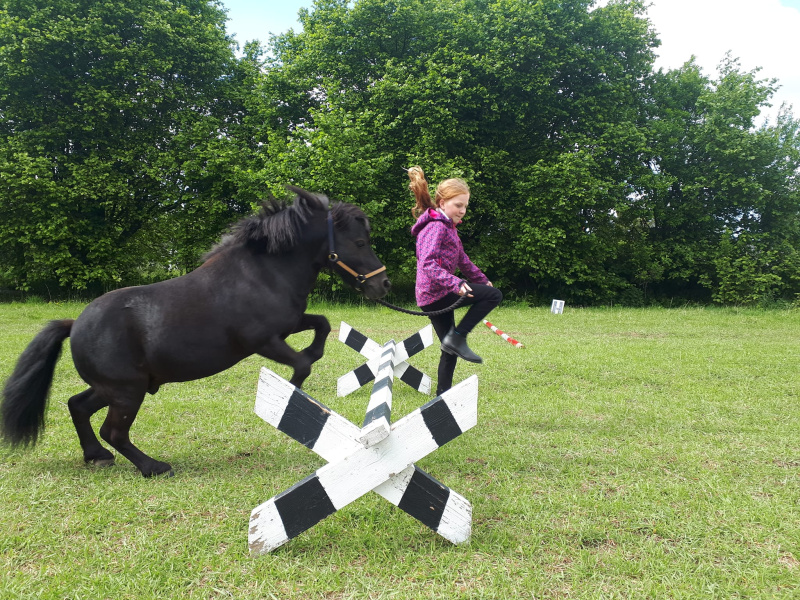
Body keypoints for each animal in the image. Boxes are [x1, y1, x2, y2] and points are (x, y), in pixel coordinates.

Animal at [1, 186, 391, 477]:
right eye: (359, 243)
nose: (383, 285)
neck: (263, 273)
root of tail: (76, 324)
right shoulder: (262, 341)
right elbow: (302, 364)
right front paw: (291, 390)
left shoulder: (290, 324)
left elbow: (322, 324)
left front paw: (308, 360)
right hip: (127, 392)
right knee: (113, 431)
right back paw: (153, 467)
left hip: (112, 388)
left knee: (78, 406)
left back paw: (96, 456)